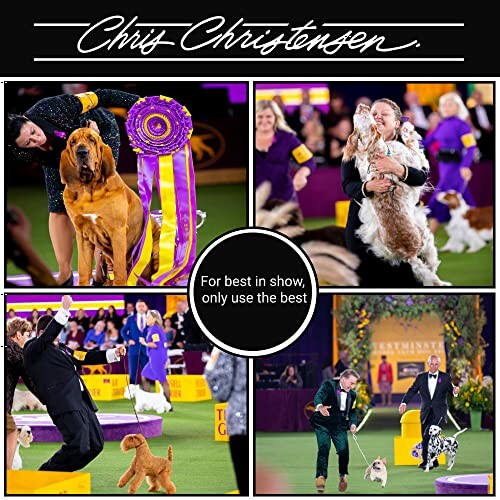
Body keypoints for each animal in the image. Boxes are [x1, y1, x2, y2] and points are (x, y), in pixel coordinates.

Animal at [344, 103, 450, 286]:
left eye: (363, 114)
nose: (362, 105)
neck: (374, 151)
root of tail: (409, 254)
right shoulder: (412, 158)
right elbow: (416, 150)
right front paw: (407, 128)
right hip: (427, 237)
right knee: (431, 265)